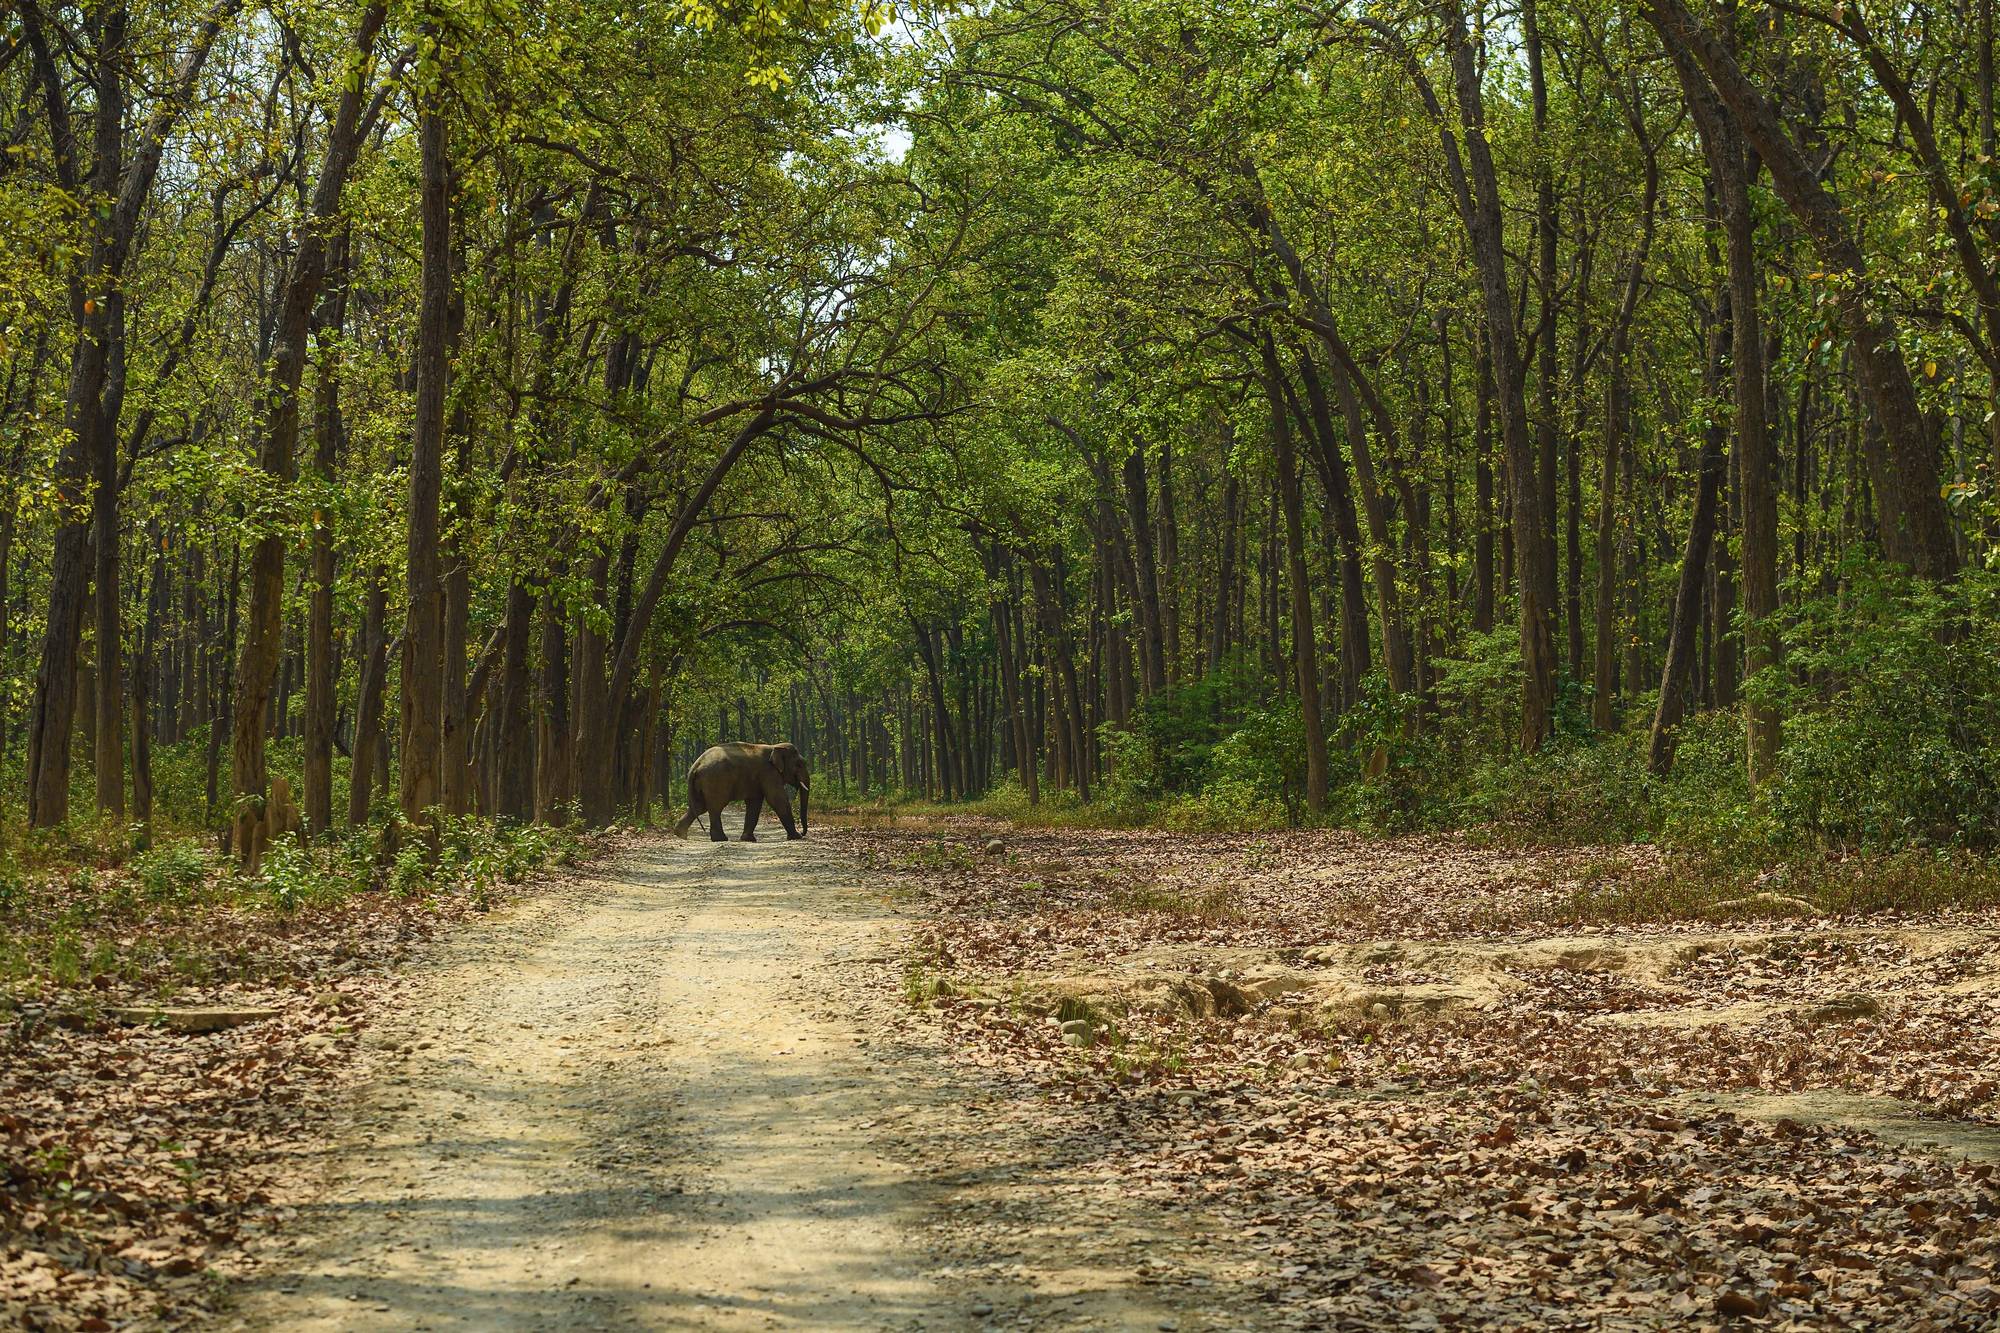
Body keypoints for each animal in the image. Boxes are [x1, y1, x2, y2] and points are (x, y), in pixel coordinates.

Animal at [676, 736, 808, 840]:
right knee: (715, 807)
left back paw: (680, 834)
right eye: (799, 764)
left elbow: (754, 803)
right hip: (715, 780)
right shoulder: (768, 773)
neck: (774, 747)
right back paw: (720, 839)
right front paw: (796, 837)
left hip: (701, 783)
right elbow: (777, 800)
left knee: (699, 806)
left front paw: (748, 839)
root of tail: (696, 764)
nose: (803, 832)